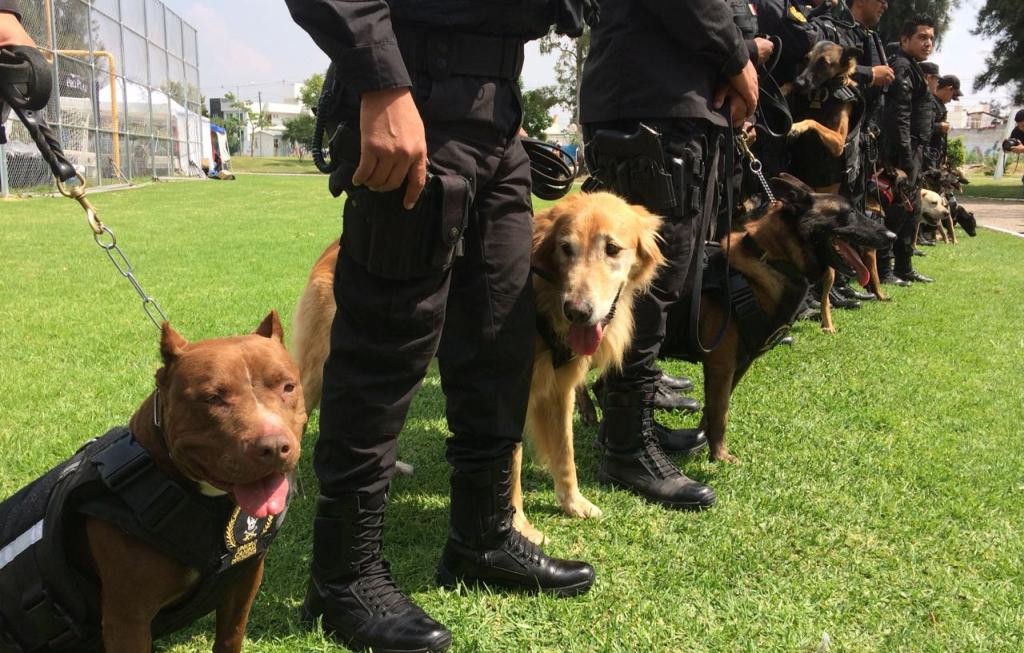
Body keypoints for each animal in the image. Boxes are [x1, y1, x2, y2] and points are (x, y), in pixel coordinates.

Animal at [0, 313, 306, 653]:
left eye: (288, 386)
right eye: (213, 398)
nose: (274, 446)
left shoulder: (244, 582)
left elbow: (230, 638)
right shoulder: (128, 619)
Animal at [291, 192, 664, 545]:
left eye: (612, 249)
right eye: (565, 248)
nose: (577, 311)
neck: (542, 293)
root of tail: (335, 248)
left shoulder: (561, 390)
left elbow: (565, 454)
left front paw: (574, 504)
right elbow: (510, 468)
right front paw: (520, 528)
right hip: (322, 370)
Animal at [659, 175, 891, 462]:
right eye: (848, 213)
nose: (892, 236)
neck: (771, 261)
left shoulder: (739, 364)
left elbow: (714, 410)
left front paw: (704, 441)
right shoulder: (721, 364)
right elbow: (721, 411)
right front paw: (721, 456)